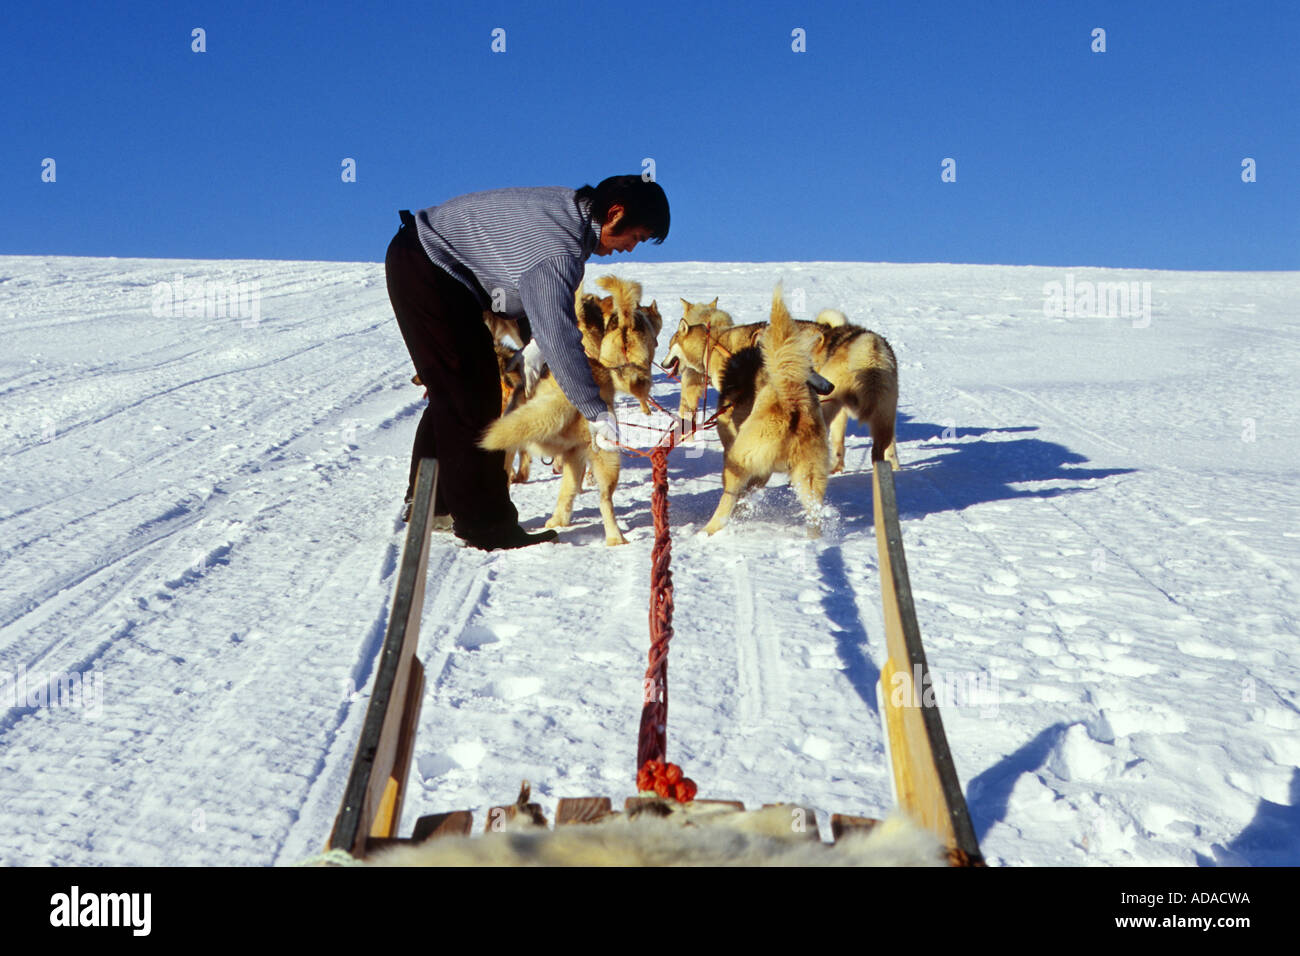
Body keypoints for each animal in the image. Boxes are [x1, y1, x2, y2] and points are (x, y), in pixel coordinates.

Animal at [707, 283, 826, 538]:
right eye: (810, 366)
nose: (829, 386)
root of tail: (791, 401)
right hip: (810, 476)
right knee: (814, 513)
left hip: (739, 459)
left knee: (727, 500)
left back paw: (707, 530)